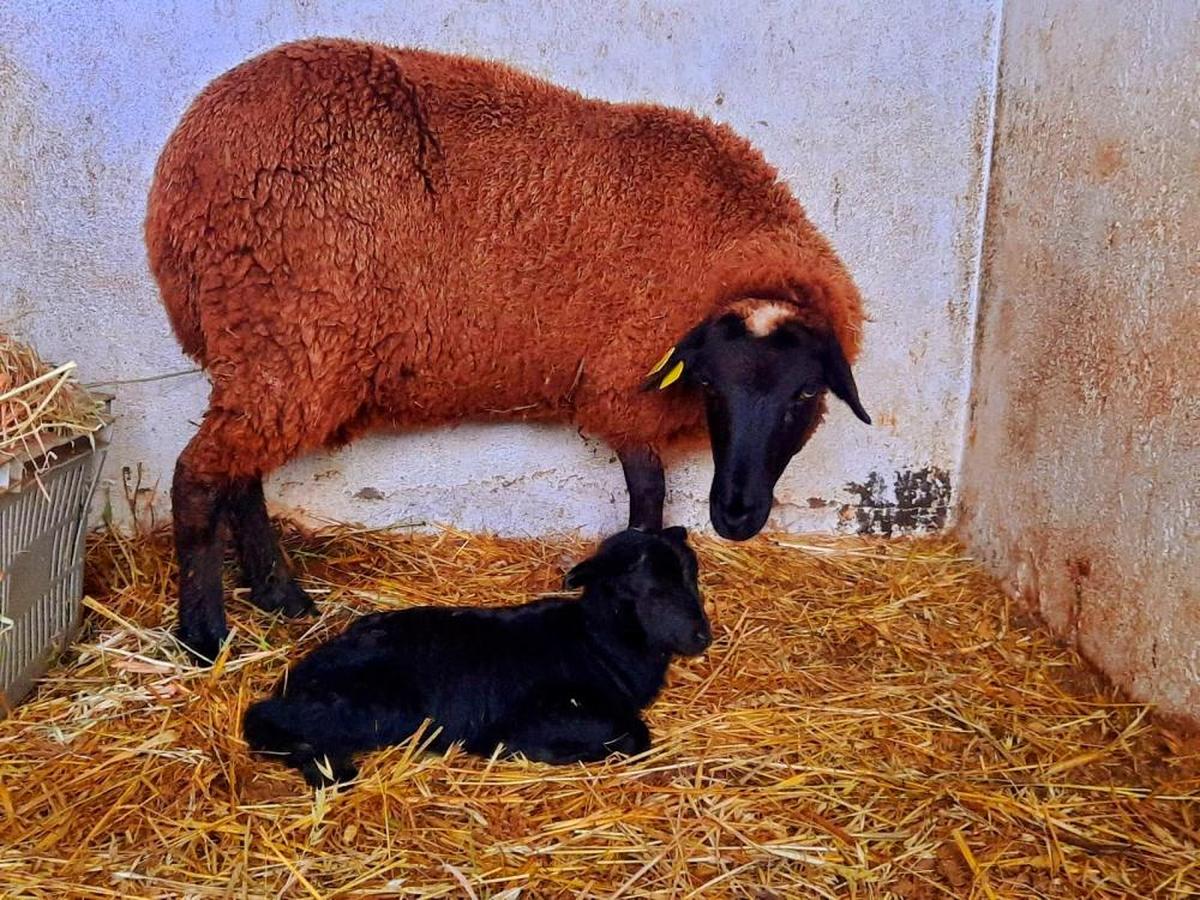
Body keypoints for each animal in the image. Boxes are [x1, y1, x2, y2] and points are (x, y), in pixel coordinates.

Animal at [145, 37, 868, 662]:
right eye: (713, 383)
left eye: (806, 392)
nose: (736, 516)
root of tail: (180, 165)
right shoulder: (620, 387)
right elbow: (648, 497)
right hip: (290, 334)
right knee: (198, 477)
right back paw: (204, 634)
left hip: (264, 346)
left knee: (240, 473)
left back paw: (278, 594)